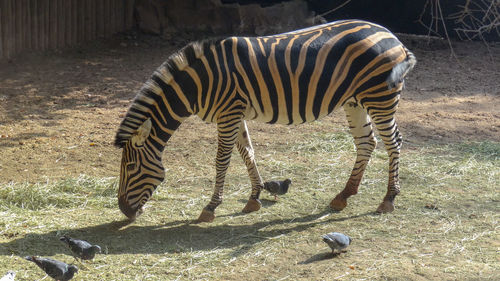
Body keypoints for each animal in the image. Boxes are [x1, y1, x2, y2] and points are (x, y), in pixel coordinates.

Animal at [115, 19, 416, 221]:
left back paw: (388, 199)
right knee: (366, 142)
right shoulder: (233, 113)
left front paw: (211, 207)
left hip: (381, 98)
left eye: (130, 167)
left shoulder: (228, 113)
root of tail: (392, 36)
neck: (200, 83)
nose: (124, 211)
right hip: (355, 101)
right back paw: (344, 195)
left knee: (394, 142)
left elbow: (222, 160)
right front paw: (254, 198)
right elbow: (247, 152)